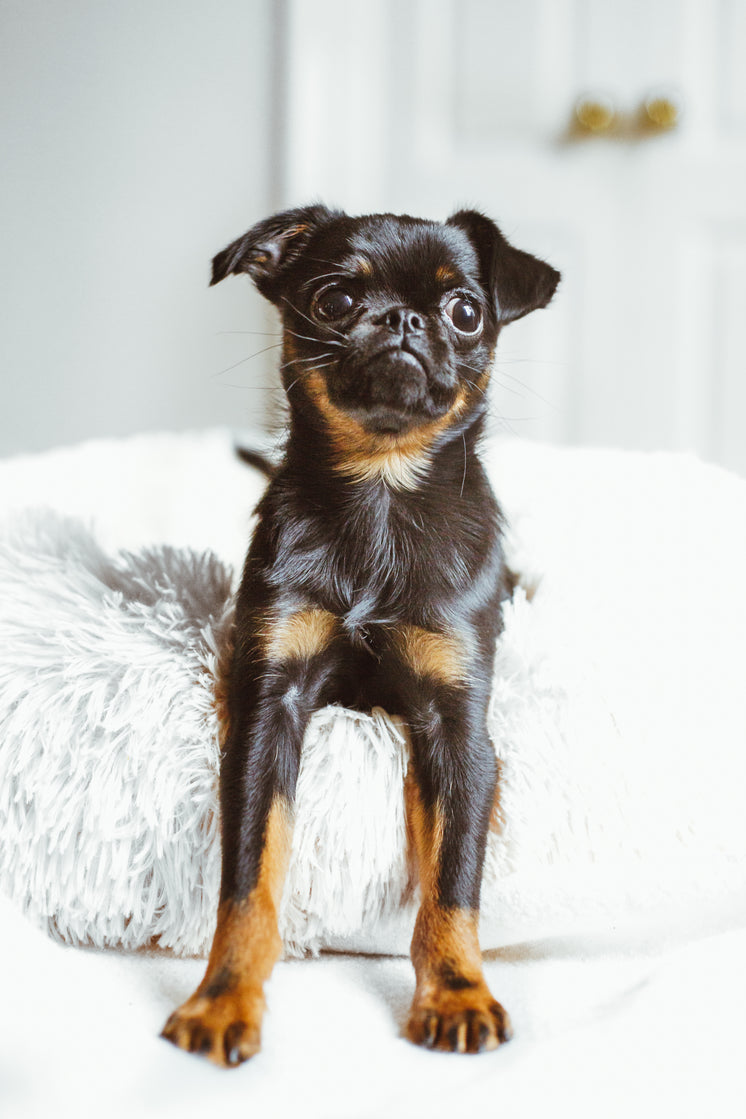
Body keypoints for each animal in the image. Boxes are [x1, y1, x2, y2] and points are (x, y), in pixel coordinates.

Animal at [163, 203, 559, 1065]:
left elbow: (453, 882)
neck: (381, 487)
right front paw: (223, 996)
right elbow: (248, 881)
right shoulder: (269, 710)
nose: (403, 319)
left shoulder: (457, 729)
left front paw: (457, 992)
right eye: (336, 300)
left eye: (465, 311)